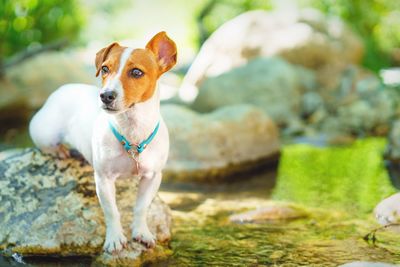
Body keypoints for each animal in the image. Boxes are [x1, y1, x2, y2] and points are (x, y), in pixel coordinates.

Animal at [28, 31, 177, 253]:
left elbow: (141, 207)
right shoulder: (104, 178)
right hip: (44, 132)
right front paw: (115, 238)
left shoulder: (152, 177)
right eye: (105, 68)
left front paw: (141, 232)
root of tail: (64, 88)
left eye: (136, 72)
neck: (132, 131)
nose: (105, 95)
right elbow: (112, 211)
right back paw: (60, 150)